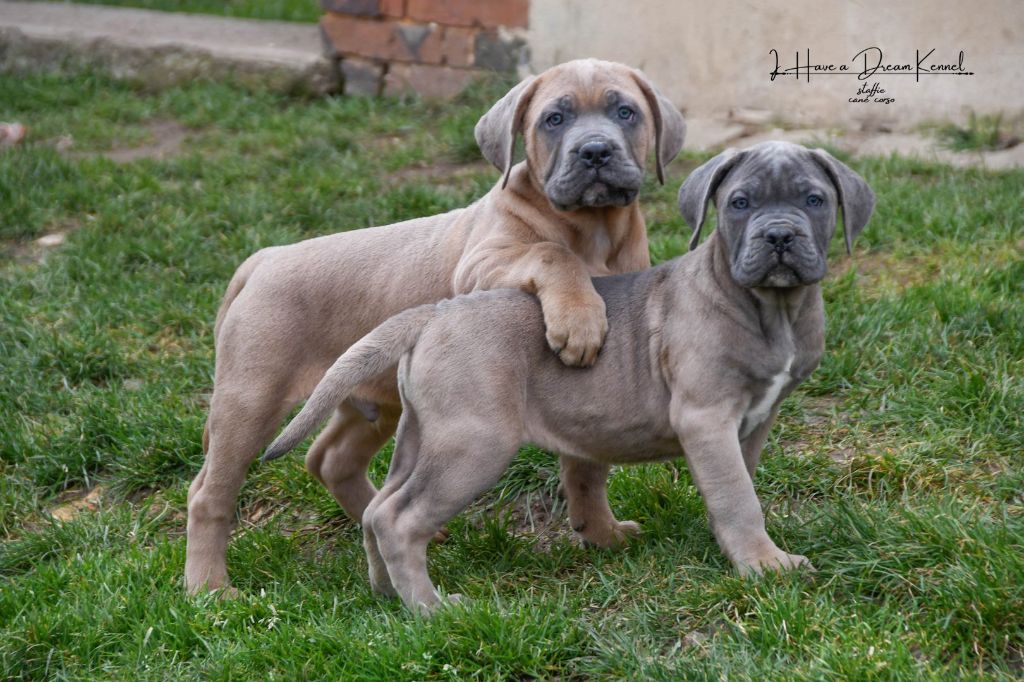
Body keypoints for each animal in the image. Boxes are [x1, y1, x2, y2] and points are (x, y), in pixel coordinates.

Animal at [262, 139, 872, 610]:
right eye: (740, 203)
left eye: (814, 200)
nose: (779, 236)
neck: (773, 308)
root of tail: (432, 314)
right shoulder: (706, 417)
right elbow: (739, 497)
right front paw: (766, 566)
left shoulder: (754, 420)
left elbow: (736, 484)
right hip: (474, 442)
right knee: (398, 518)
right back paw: (432, 610)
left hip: (425, 435)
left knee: (377, 509)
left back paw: (387, 594)